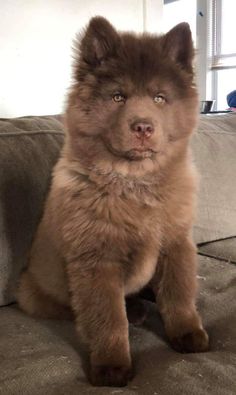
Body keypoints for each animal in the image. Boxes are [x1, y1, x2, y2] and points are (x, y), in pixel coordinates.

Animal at [17, 17, 209, 386]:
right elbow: (108, 318)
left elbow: (178, 294)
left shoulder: (176, 242)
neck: (136, 183)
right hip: (36, 293)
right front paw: (111, 367)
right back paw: (133, 309)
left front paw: (188, 334)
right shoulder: (96, 259)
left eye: (160, 98)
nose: (143, 126)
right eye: (118, 97)